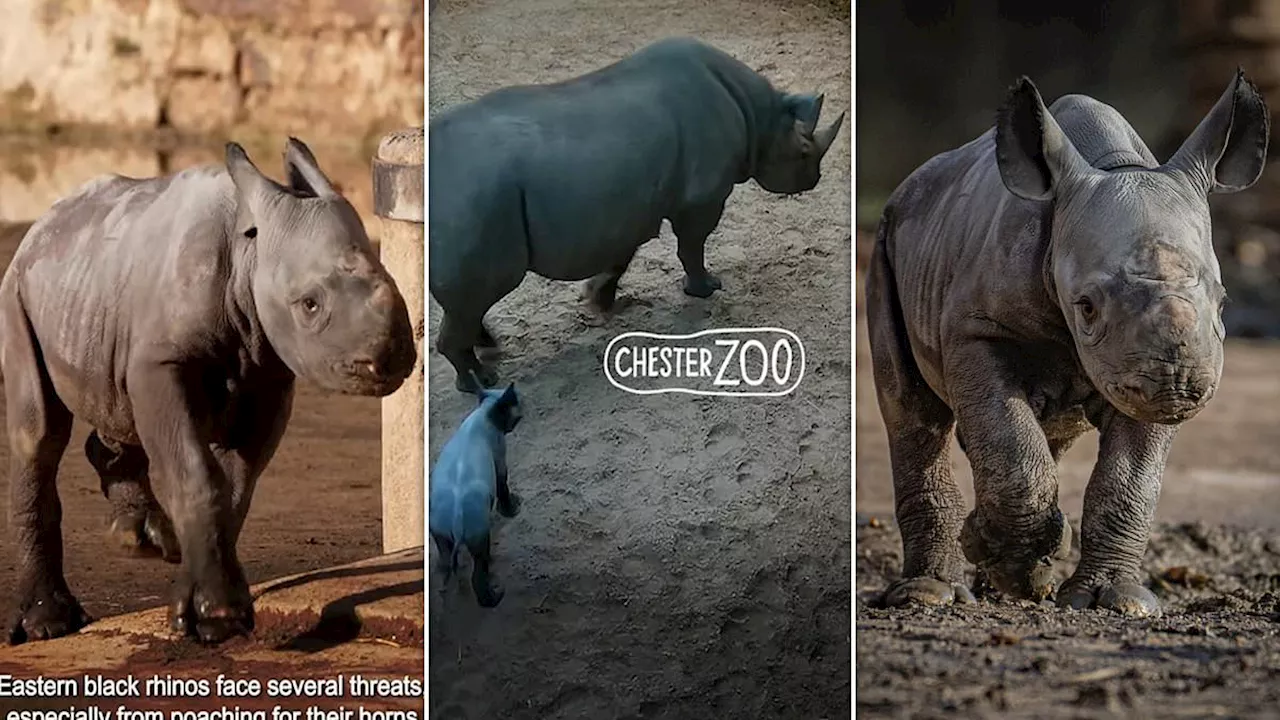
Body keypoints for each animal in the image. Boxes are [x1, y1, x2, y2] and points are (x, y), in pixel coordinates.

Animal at [3, 137, 414, 640]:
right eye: (309, 305)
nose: (391, 361)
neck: (249, 254)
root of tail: (43, 223)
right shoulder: (161, 362)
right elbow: (195, 472)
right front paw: (217, 615)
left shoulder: (268, 376)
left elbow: (236, 486)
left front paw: (208, 616)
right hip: (18, 289)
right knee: (39, 433)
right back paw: (50, 623)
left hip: (89, 288)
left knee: (116, 405)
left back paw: (142, 540)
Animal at [430, 381, 524, 604]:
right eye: (517, 401)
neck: (485, 412)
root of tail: (455, 521)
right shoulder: (499, 456)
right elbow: (503, 484)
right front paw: (512, 509)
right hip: (478, 533)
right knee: (478, 572)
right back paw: (495, 594)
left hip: (439, 533)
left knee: (446, 563)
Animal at [432, 36, 849, 389]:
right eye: (804, 153)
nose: (814, 180)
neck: (759, 116)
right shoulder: (701, 198)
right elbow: (692, 245)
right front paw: (706, 290)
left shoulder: (624, 210)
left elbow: (621, 257)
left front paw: (601, 302)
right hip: (475, 202)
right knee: (480, 294)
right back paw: (481, 381)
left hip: (473, 203)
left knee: (470, 302)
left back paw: (488, 349)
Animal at [870, 70, 1269, 614]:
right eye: (1086, 307)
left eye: (1224, 304)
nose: (1177, 386)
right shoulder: (977, 328)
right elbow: (1010, 441)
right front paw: (1007, 561)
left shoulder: (1136, 368)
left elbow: (1130, 480)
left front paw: (1112, 600)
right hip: (887, 242)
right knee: (911, 411)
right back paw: (933, 594)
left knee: (1044, 432)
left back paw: (1004, 580)